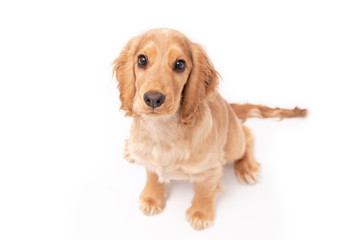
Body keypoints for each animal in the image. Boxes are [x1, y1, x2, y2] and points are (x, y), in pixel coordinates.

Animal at [113, 28, 306, 231]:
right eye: (142, 60)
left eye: (180, 64)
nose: (153, 98)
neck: (162, 130)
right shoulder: (149, 158)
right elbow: (153, 176)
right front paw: (152, 198)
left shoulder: (211, 169)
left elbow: (204, 191)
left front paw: (200, 213)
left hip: (233, 145)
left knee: (247, 135)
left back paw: (247, 168)